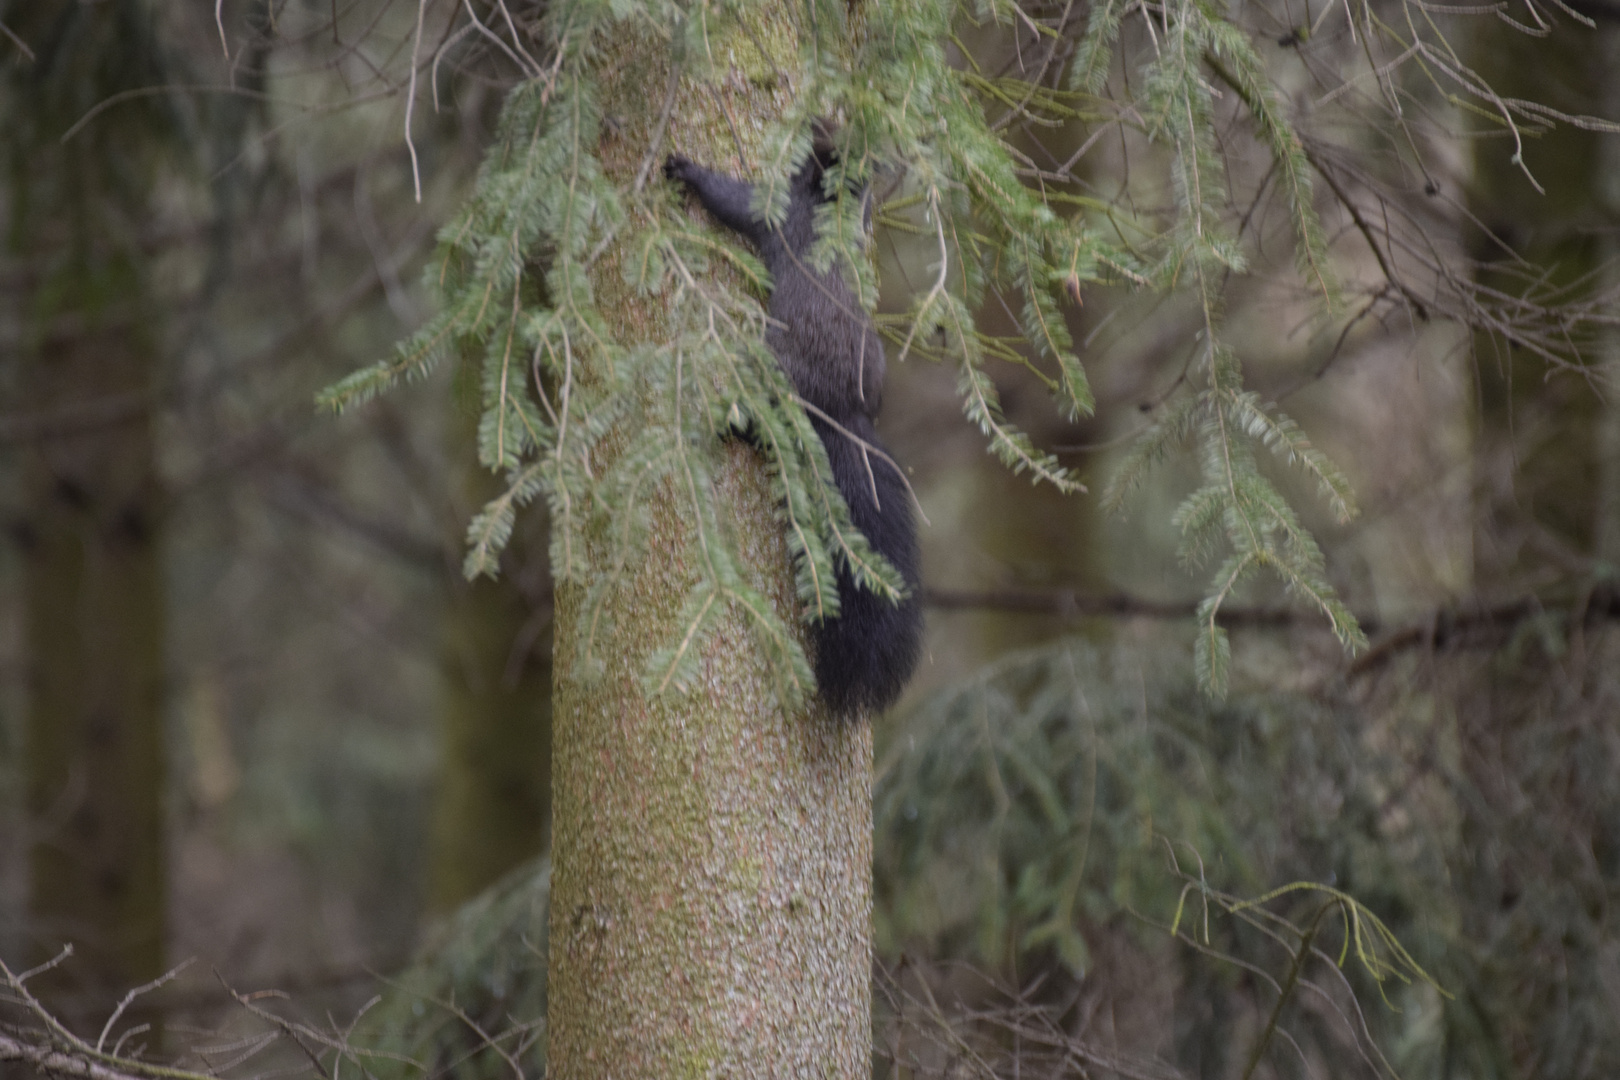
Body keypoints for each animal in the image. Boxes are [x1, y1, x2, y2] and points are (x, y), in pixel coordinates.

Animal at [667, 137, 926, 725]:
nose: (812, 129)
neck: (836, 205)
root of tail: (846, 412)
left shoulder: (779, 210)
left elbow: (737, 201)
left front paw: (685, 170)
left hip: (776, 364)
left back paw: (729, 423)